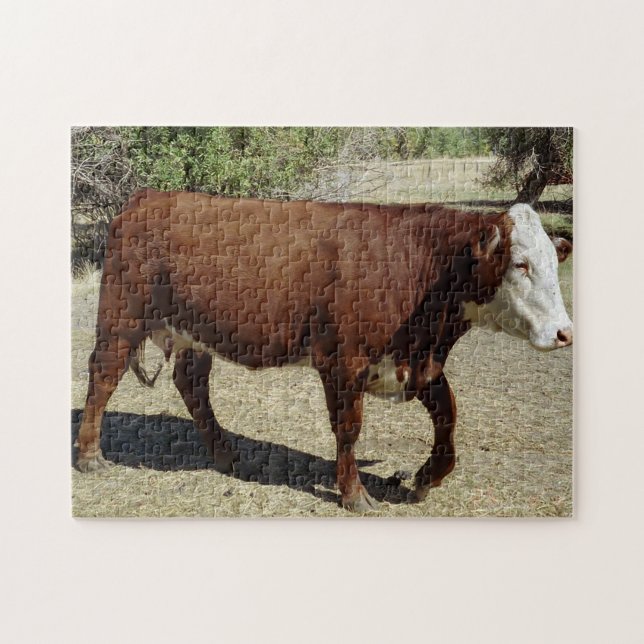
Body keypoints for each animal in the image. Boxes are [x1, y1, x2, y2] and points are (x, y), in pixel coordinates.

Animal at [76, 189, 573, 511]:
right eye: (520, 265)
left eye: (554, 261)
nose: (565, 332)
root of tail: (147, 198)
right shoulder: (342, 363)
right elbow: (348, 429)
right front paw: (354, 494)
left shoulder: (417, 364)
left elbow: (448, 417)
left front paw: (423, 480)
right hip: (121, 318)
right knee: (102, 376)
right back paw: (88, 457)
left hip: (194, 332)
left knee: (192, 384)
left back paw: (223, 453)